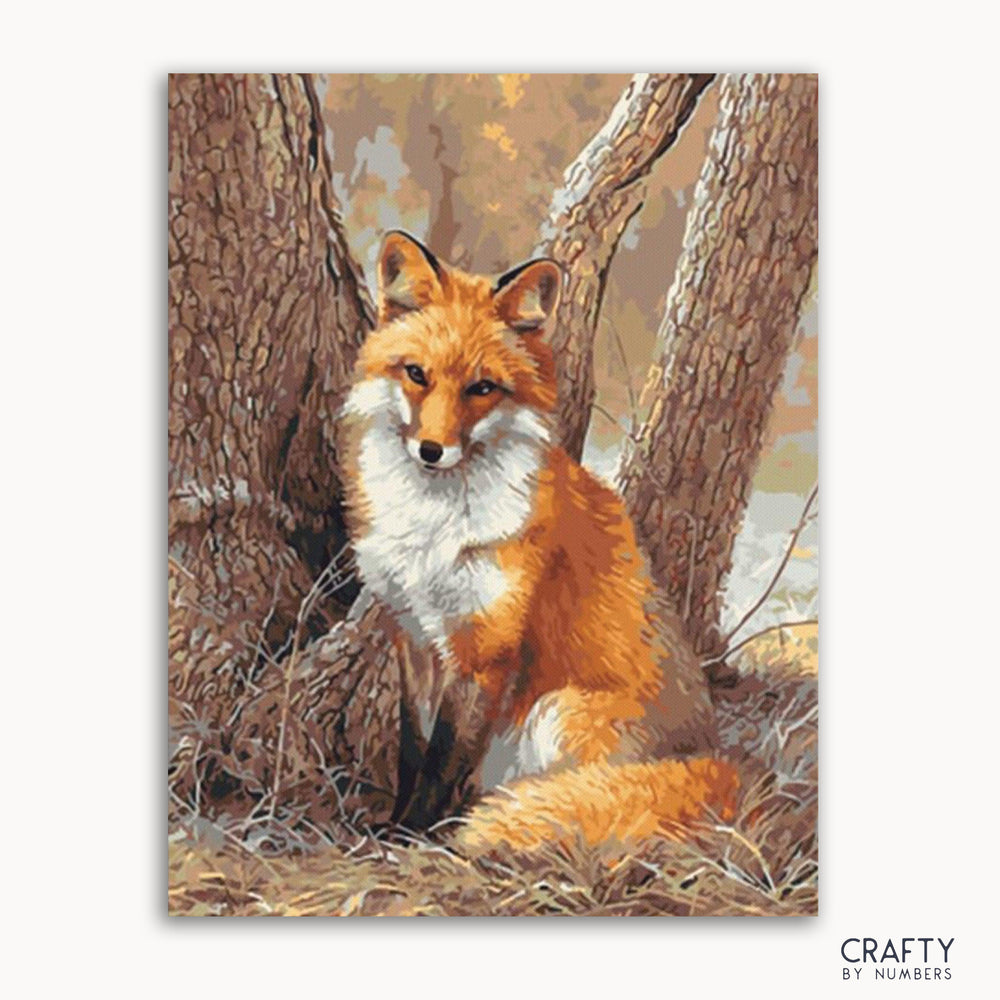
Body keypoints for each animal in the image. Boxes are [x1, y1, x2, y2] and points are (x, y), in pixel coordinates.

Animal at [338, 230, 739, 852]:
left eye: (482, 388)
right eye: (417, 374)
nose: (431, 450)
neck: (432, 530)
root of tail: (715, 758)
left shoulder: (484, 649)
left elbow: (443, 758)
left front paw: (413, 834)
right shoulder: (413, 635)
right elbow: (412, 748)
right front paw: (396, 822)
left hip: (558, 710)